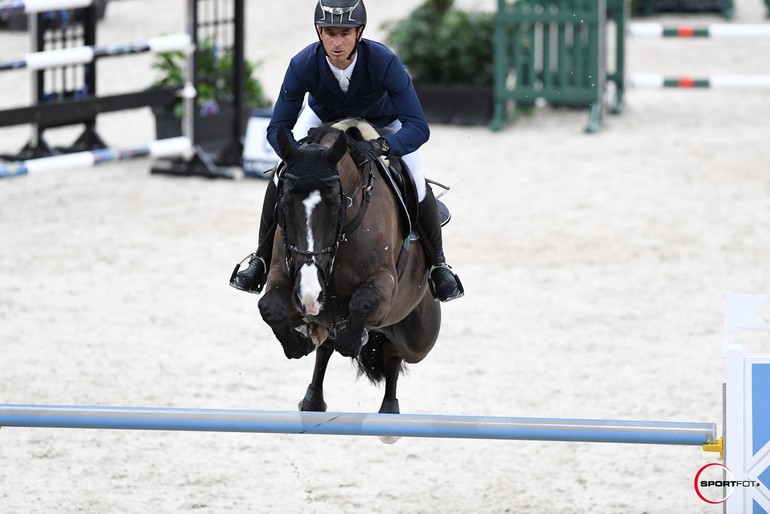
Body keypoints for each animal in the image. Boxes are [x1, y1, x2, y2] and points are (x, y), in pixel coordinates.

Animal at [256, 119, 438, 412]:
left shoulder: (385, 283)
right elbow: (270, 307)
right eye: (283, 203)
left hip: (419, 336)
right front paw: (299, 343)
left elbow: (363, 302)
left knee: (394, 353)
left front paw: (353, 340)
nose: (310, 294)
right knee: (328, 346)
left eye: (335, 204)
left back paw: (389, 409)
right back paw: (313, 398)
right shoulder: (283, 274)